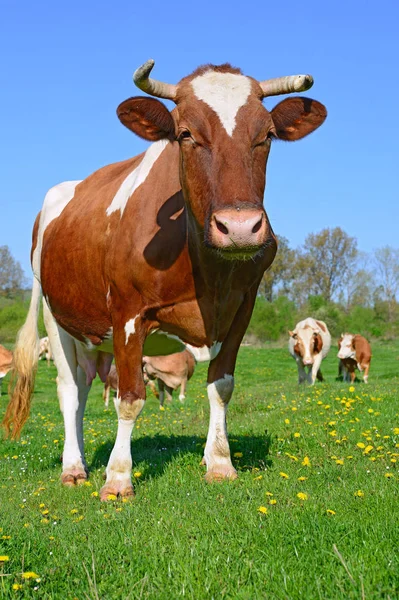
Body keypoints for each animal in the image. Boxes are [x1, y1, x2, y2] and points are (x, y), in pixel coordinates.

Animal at [3, 58, 328, 500]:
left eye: (267, 135)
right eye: (186, 134)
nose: (240, 228)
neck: (208, 274)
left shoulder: (242, 309)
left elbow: (221, 385)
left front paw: (220, 462)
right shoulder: (127, 315)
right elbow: (129, 397)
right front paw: (118, 478)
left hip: (93, 333)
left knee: (86, 385)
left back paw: (85, 461)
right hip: (58, 319)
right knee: (69, 390)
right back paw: (73, 468)